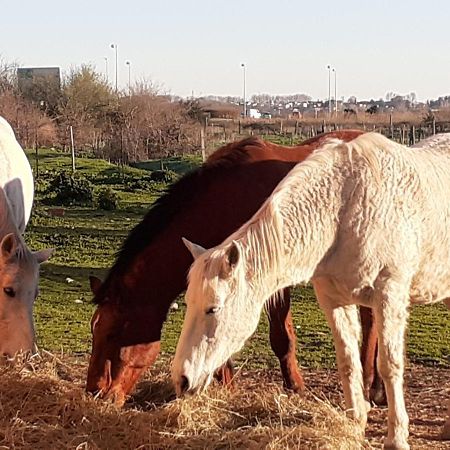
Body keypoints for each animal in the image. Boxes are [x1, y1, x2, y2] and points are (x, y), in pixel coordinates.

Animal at [86, 129, 382, 404]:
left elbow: (281, 338)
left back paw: (371, 385)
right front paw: (224, 385)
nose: (95, 392)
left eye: (112, 334)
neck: (227, 202)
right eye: (94, 330)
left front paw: (294, 387)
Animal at [172, 133, 450, 450]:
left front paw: (396, 437)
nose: (181, 379)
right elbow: (348, 362)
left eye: (213, 308)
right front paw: (354, 424)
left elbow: (389, 365)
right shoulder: (334, 300)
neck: (344, 209)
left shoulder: (389, 296)